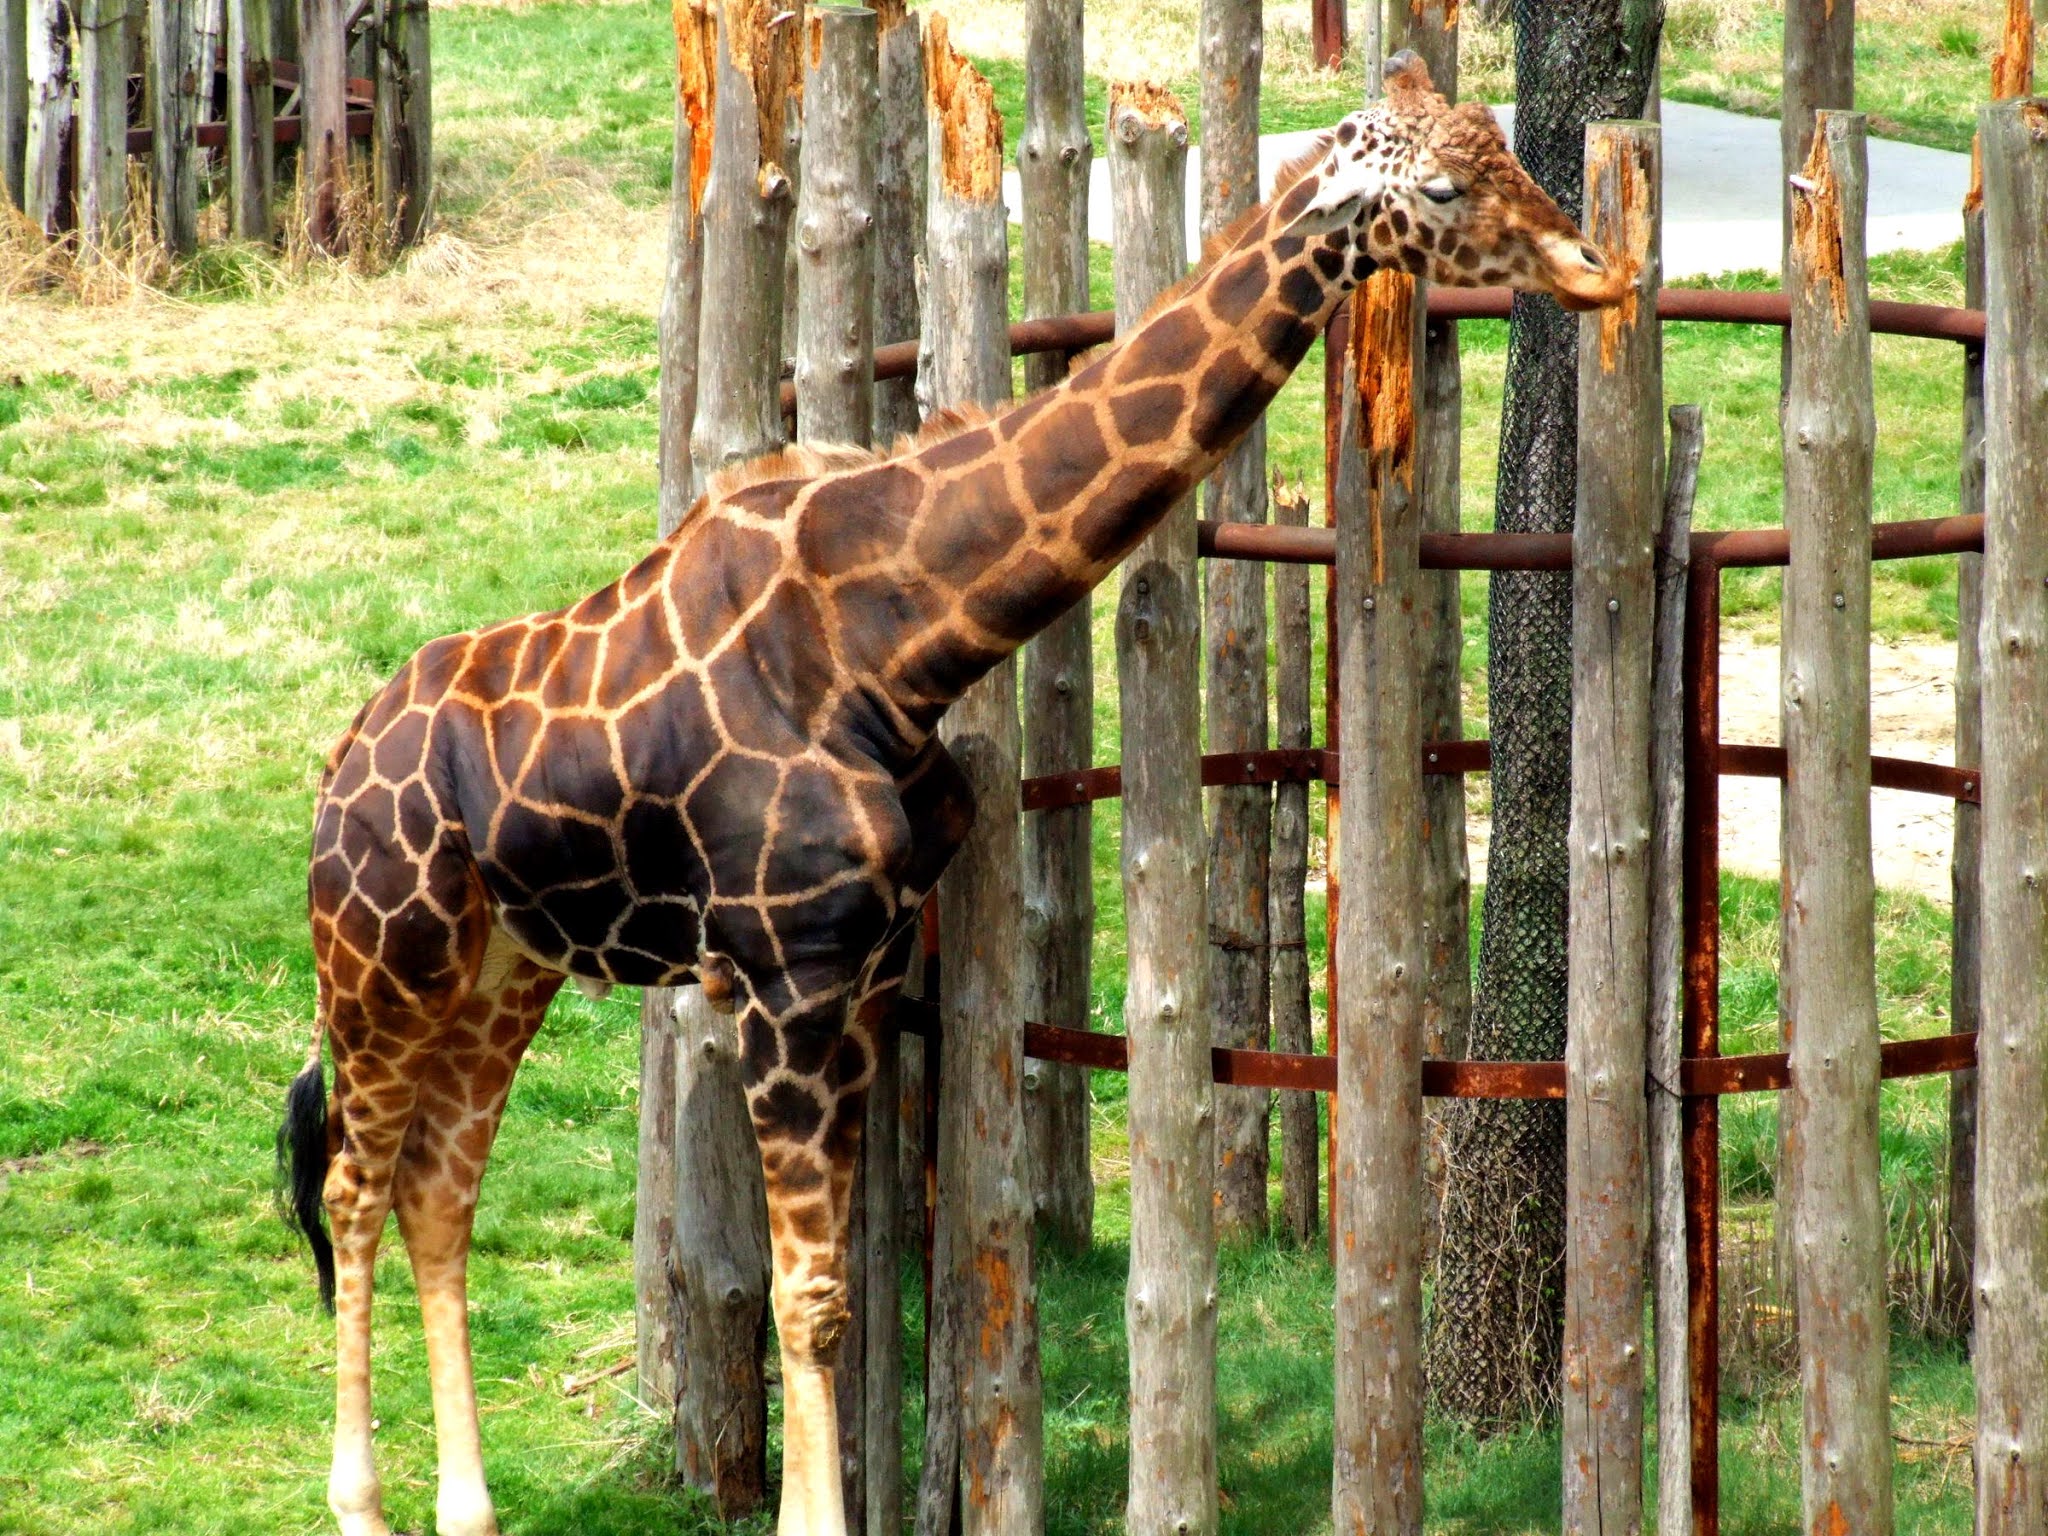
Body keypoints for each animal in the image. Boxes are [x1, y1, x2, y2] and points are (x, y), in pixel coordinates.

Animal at [276, 54, 1613, 1536]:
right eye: (1436, 189)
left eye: (1499, 146)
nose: (1597, 267)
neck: (893, 642)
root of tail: (337, 768)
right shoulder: (785, 972)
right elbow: (807, 1297)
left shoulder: (861, 966)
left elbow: (845, 1292)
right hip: (381, 960)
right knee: (351, 1184)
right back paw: (359, 1503)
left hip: (503, 966)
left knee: (435, 1193)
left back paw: (467, 1508)